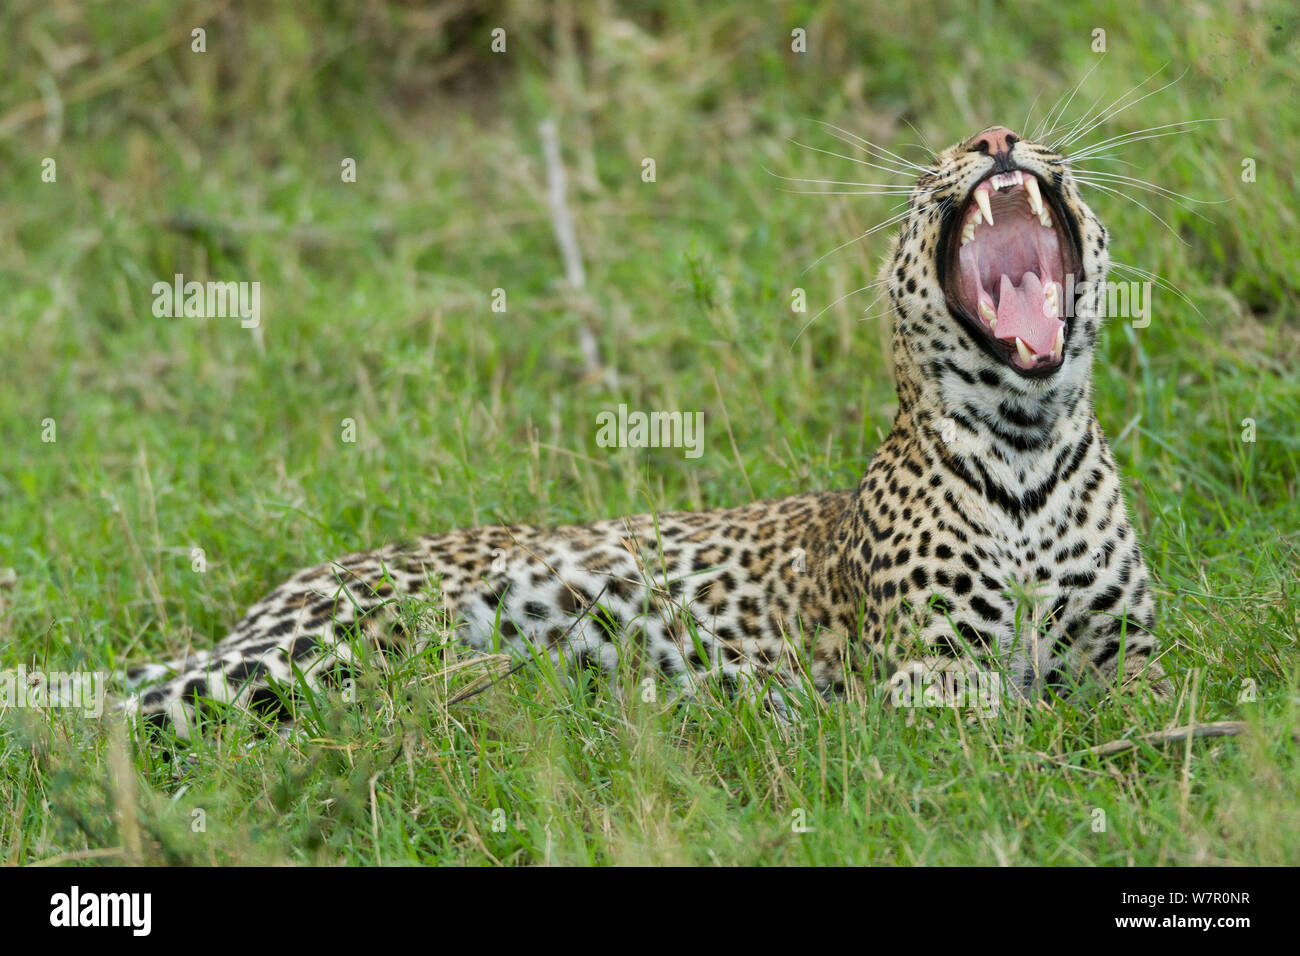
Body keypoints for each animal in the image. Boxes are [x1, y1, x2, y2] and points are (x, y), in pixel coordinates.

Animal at [125, 124, 1170, 739]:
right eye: (931, 170)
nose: (995, 136)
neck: (1026, 442)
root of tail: (283, 588)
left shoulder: (1128, 658)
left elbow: (1140, 708)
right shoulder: (931, 674)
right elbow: (1008, 736)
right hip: (321, 642)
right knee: (123, 702)